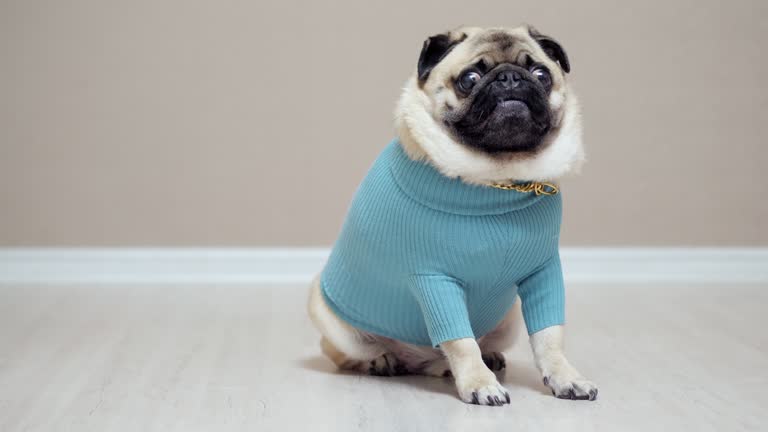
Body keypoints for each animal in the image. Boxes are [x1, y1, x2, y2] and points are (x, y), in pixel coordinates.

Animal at [306, 25, 592, 406]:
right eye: (470, 79)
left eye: (541, 74)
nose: (510, 78)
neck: (497, 180)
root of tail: (419, 361)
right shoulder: (433, 278)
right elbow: (460, 341)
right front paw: (479, 383)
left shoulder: (543, 271)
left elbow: (549, 335)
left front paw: (565, 377)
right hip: (328, 315)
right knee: (345, 354)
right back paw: (381, 359)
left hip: (508, 319)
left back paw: (484, 357)